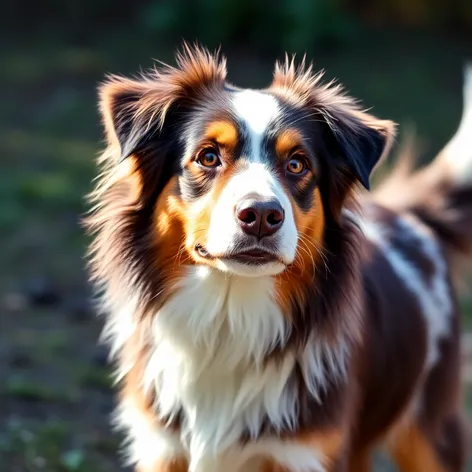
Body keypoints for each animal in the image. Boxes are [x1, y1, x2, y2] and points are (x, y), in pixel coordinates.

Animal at [85, 45, 472, 472]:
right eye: (207, 157)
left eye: (297, 163)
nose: (260, 215)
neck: (229, 320)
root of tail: (409, 214)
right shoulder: (163, 447)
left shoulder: (307, 451)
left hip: (431, 429)